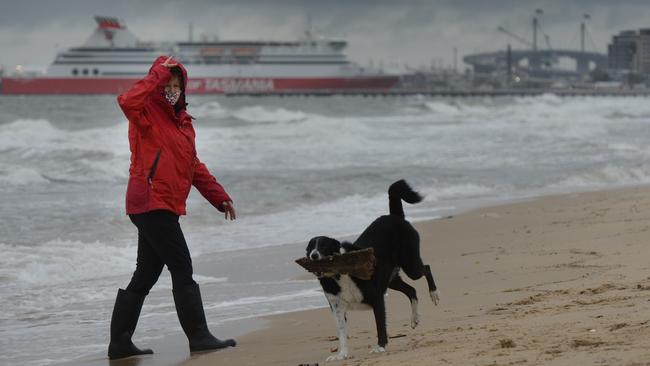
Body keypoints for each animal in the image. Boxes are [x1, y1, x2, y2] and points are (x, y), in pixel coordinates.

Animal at [306, 180, 438, 360]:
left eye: (324, 247)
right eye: (310, 248)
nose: (314, 256)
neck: (338, 276)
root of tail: (394, 216)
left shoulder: (377, 299)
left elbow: (380, 324)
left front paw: (380, 347)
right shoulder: (337, 308)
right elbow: (341, 333)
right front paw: (341, 355)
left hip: (411, 265)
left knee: (426, 269)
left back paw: (434, 294)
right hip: (391, 278)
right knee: (411, 290)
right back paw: (414, 318)